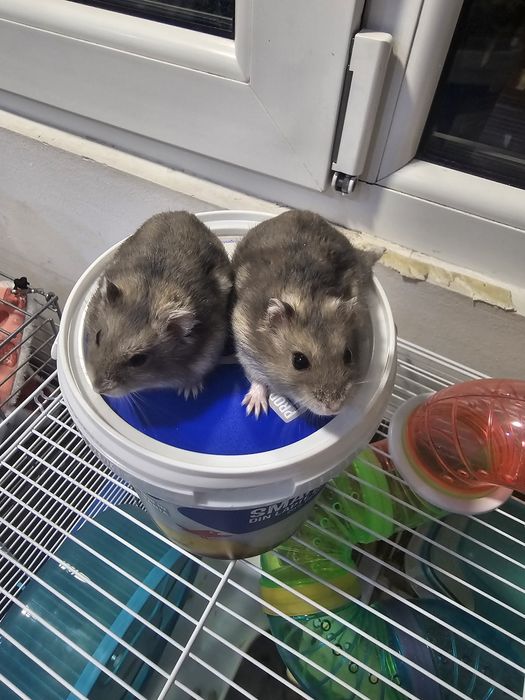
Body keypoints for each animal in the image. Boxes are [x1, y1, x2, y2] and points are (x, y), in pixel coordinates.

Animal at [231, 210, 378, 417]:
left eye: (348, 355)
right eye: (299, 361)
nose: (335, 407)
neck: (307, 296)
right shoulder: (247, 349)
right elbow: (258, 380)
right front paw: (255, 410)